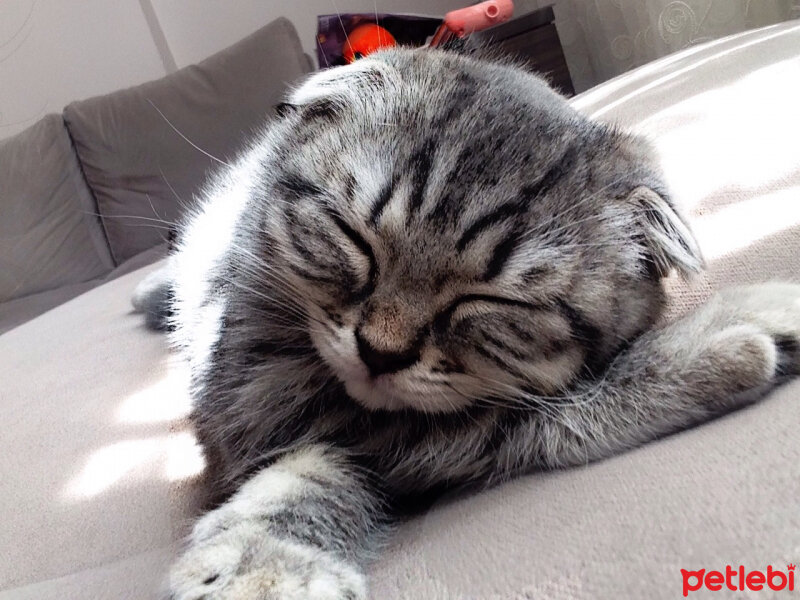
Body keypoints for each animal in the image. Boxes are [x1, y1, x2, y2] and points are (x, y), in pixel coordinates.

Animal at [133, 48, 800, 600]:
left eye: (487, 301)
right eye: (356, 241)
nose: (380, 352)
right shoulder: (269, 413)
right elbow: (314, 477)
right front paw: (266, 567)